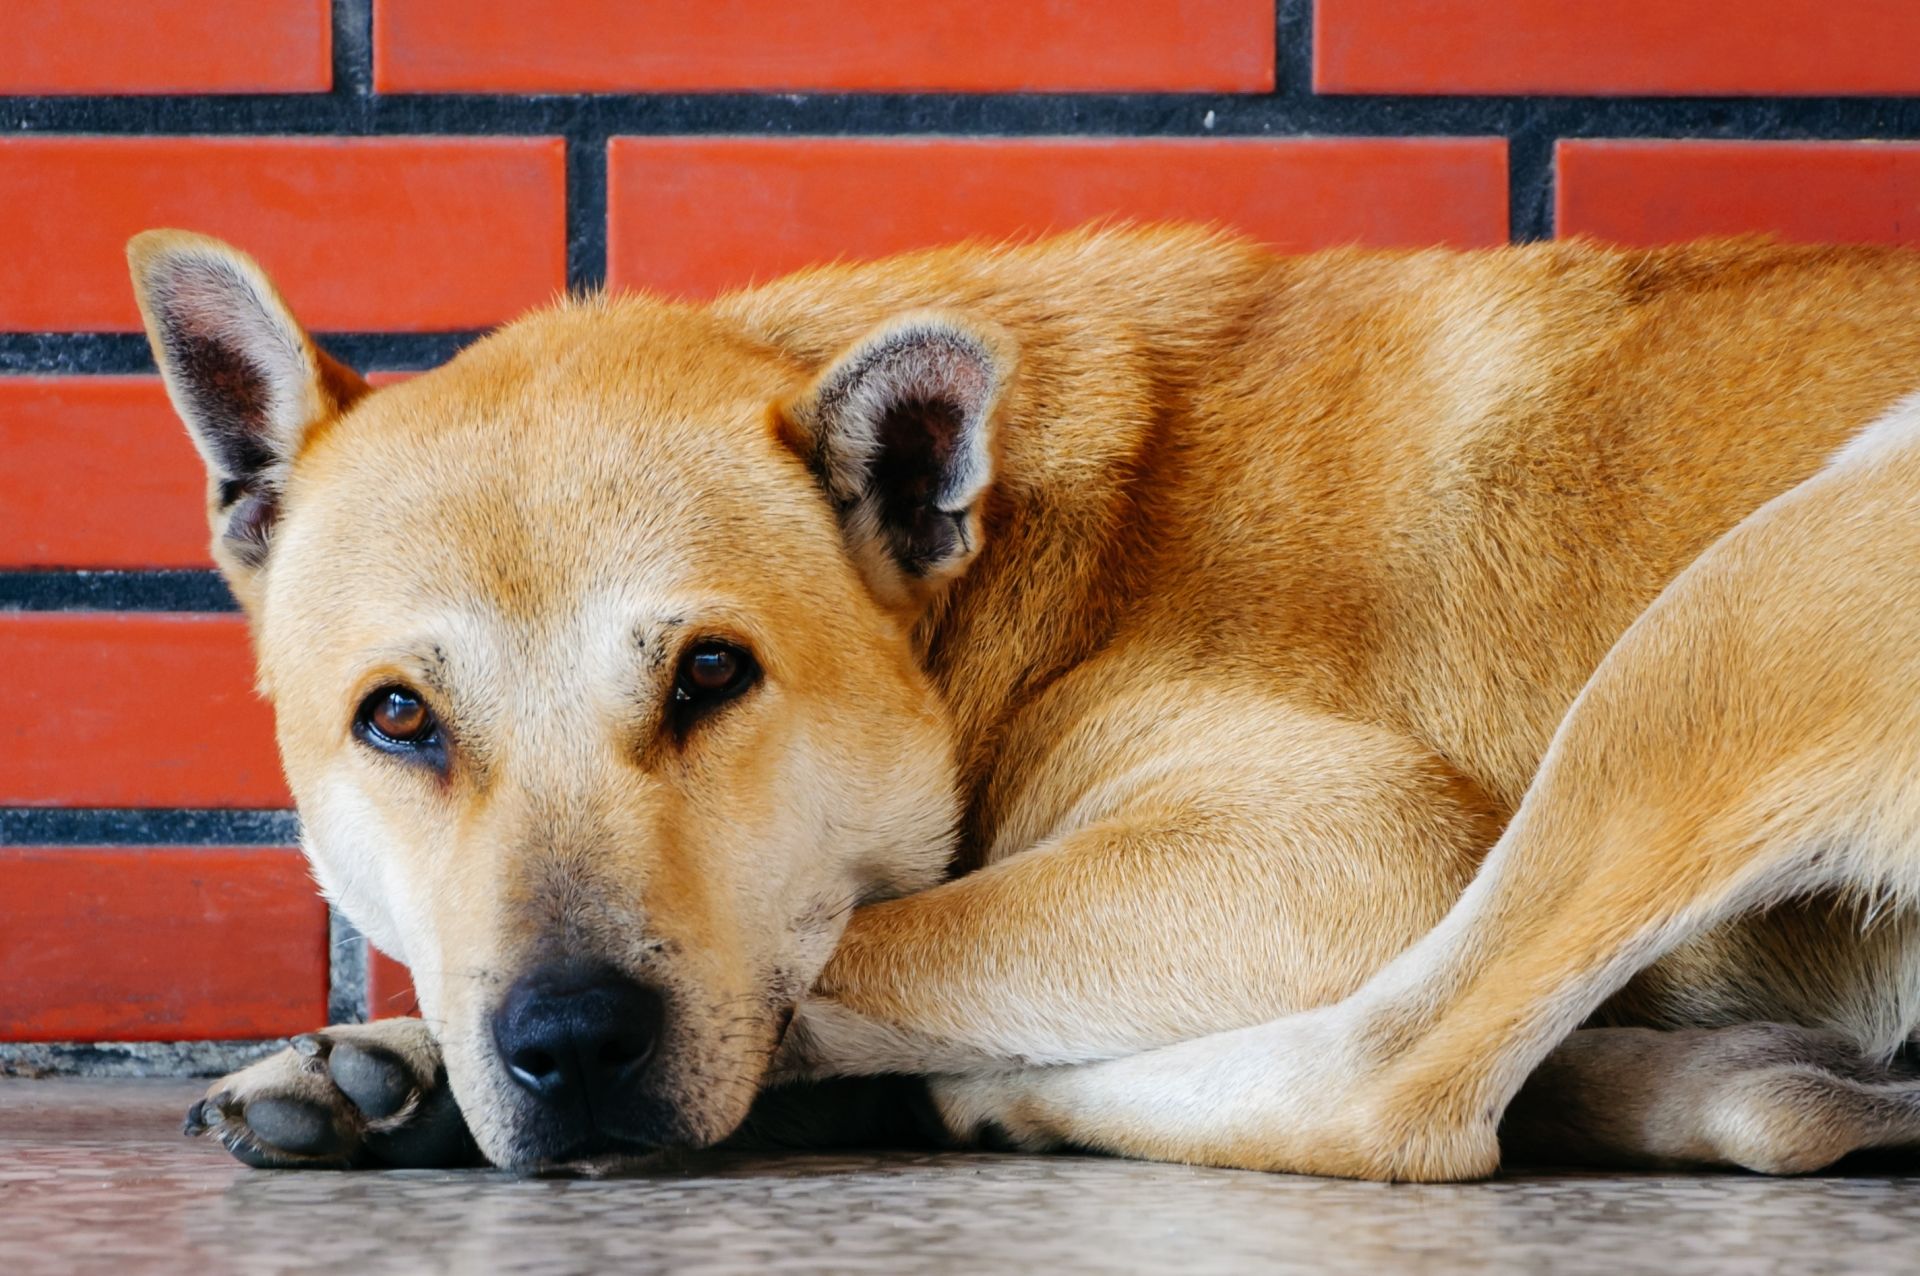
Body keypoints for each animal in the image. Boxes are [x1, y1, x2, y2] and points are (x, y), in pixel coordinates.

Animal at [135, 221, 1920, 1181]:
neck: (985, 583)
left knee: (1391, 1085)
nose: (567, 1046)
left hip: (1755, 604)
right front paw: (391, 1064)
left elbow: (858, 947)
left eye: (713, 673)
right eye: (397, 720)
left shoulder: (1354, 836)